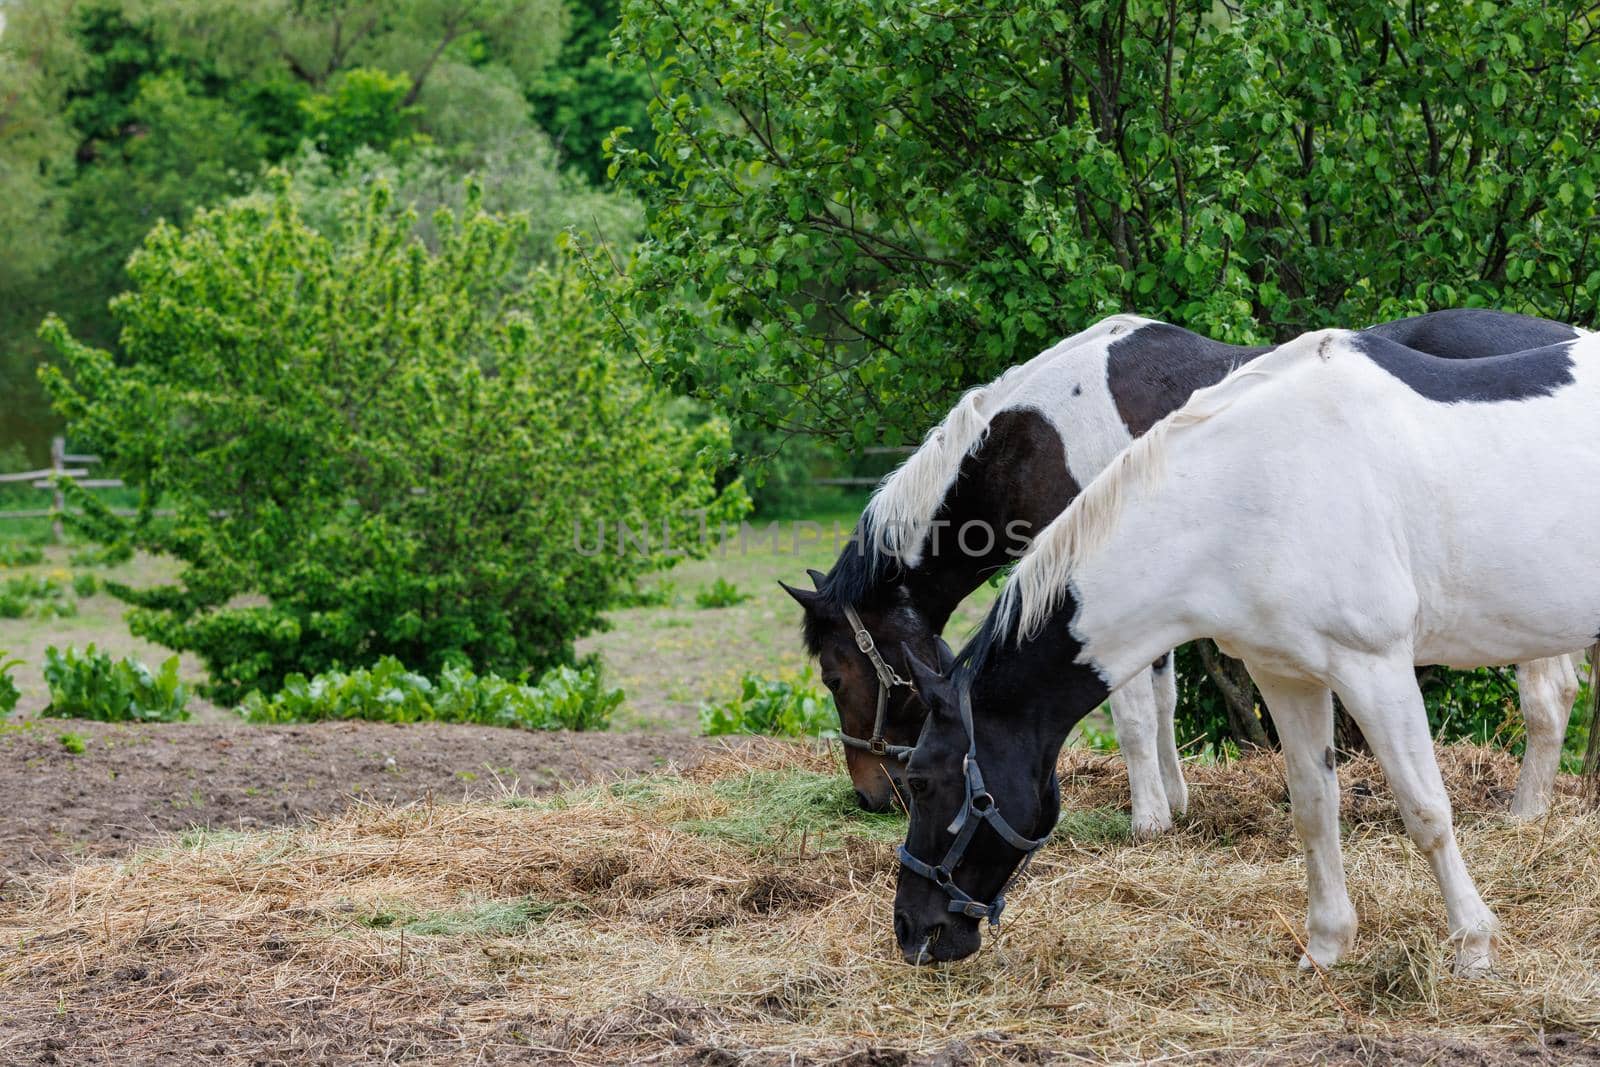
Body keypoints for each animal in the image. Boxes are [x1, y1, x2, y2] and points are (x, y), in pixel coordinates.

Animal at [896, 329, 1600, 972]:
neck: (1253, 489)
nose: (912, 932)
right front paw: (1325, 948)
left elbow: (1426, 810)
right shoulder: (1286, 676)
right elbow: (1314, 808)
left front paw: (1473, 947)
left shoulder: (1376, 670)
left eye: (924, 782)